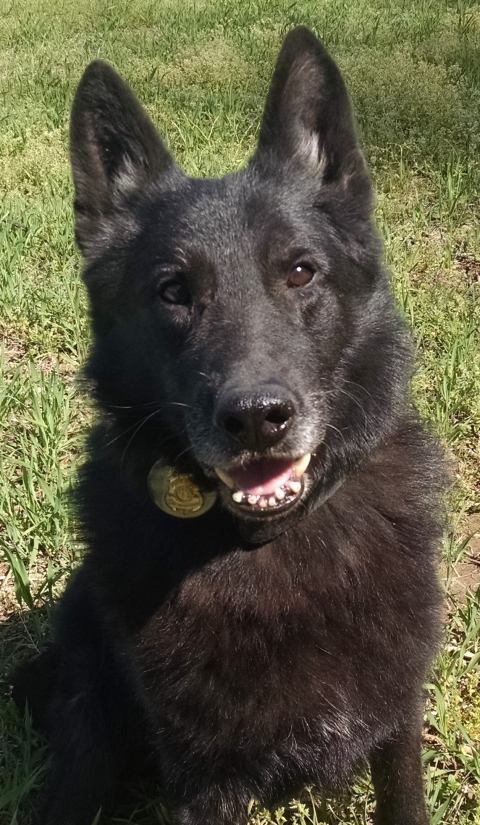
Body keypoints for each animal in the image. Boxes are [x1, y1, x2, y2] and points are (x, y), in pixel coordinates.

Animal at [13, 25, 444, 824]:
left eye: (300, 271)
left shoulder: (396, 717)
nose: (257, 419)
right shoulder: (204, 782)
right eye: (173, 291)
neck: (268, 545)